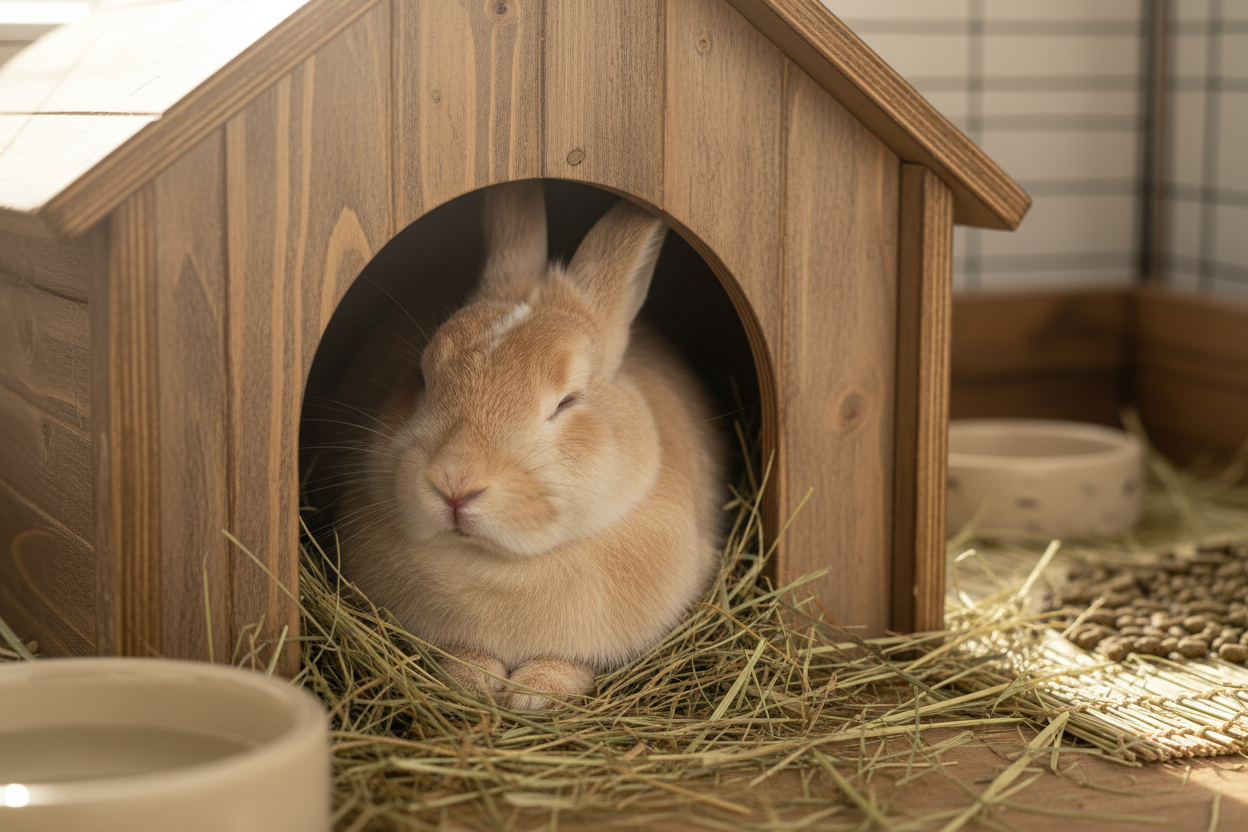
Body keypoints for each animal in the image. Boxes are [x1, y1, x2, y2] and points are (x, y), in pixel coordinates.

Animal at [327, 180, 725, 710]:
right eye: (423, 377)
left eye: (567, 402)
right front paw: (474, 679)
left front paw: (535, 692)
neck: (501, 564)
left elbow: (568, 665)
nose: (454, 485)